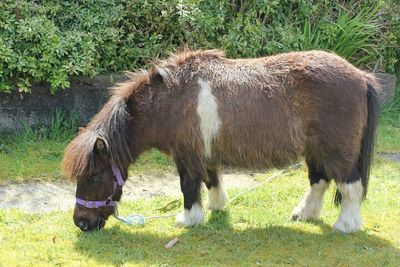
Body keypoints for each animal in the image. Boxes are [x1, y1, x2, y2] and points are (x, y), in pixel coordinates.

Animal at [61, 50, 378, 234]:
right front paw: (215, 207)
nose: (81, 223)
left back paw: (345, 226)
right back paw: (304, 215)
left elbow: (189, 186)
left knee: (350, 187)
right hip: (315, 150)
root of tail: (361, 76)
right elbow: (211, 179)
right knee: (319, 181)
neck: (170, 100)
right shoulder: (204, 152)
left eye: (94, 176)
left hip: (337, 151)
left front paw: (188, 220)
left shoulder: (187, 155)